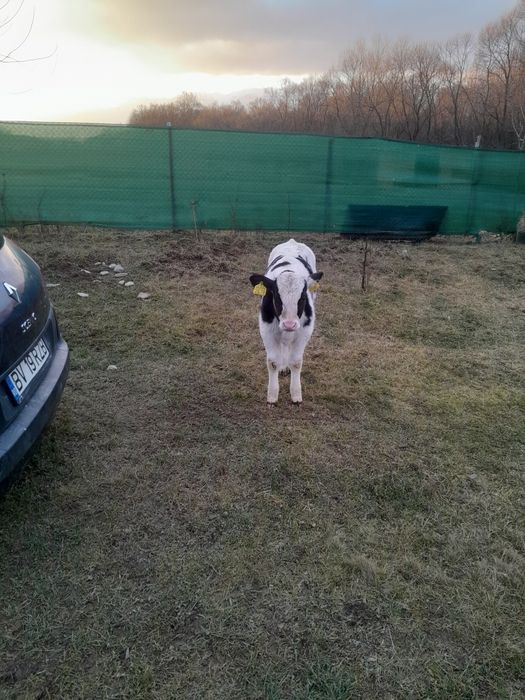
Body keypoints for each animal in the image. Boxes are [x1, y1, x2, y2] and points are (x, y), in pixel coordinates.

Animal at [249, 239, 323, 405]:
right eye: (277, 296)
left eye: (303, 297)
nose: (289, 324)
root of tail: (292, 241)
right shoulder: (266, 330)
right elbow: (273, 362)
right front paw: (272, 395)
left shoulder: (304, 331)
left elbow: (296, 362)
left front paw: (296, 394)